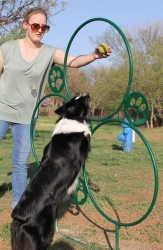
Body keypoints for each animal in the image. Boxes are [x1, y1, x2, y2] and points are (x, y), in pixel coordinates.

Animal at [10, 93, 91, 250]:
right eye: (82, 100)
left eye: (77, 97)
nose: (87, 94)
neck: (70, 117)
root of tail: (19, 218)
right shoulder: (84, 142)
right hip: (44, 232)